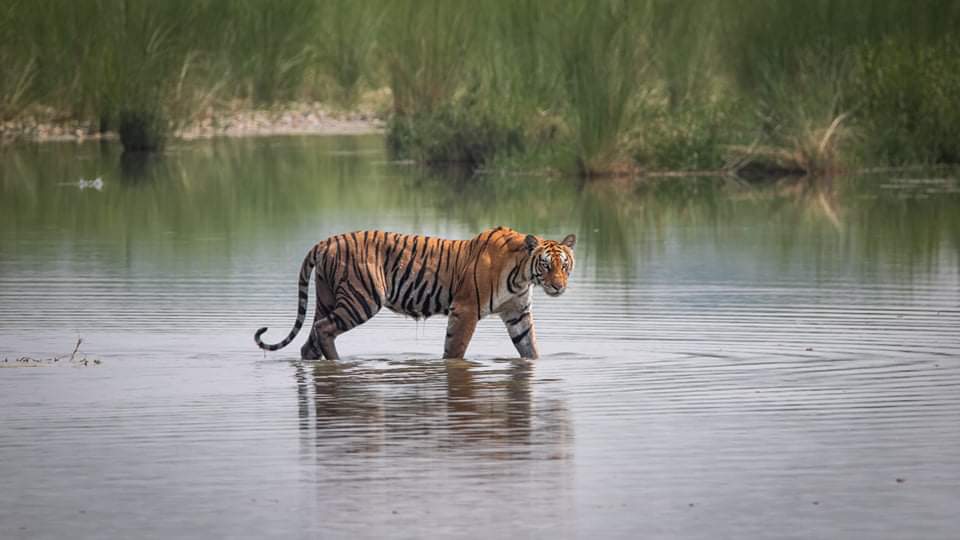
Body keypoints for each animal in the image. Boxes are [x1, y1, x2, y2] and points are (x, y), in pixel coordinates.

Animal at [251, 226, 576, 360]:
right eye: (546, 265)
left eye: (564, 265)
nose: (558, 286)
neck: (522, 275)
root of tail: (326, 241)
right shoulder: (466, 309)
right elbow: (455, 350)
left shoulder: (517, 313)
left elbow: (530, 349)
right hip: (361, 299)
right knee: (323, 329)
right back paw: (339, 363)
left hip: (327, 298)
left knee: (310, 341)